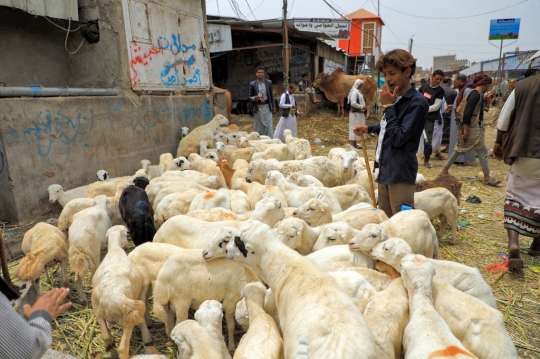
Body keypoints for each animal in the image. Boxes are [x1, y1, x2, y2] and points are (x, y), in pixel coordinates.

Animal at [90, 225, 150, 359]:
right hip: (128, 319)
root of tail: (113, 301)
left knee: (105, 335)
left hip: (97, 310)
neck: (115, 250)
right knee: (122, 348)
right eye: (126, 233)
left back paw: (109, 344)